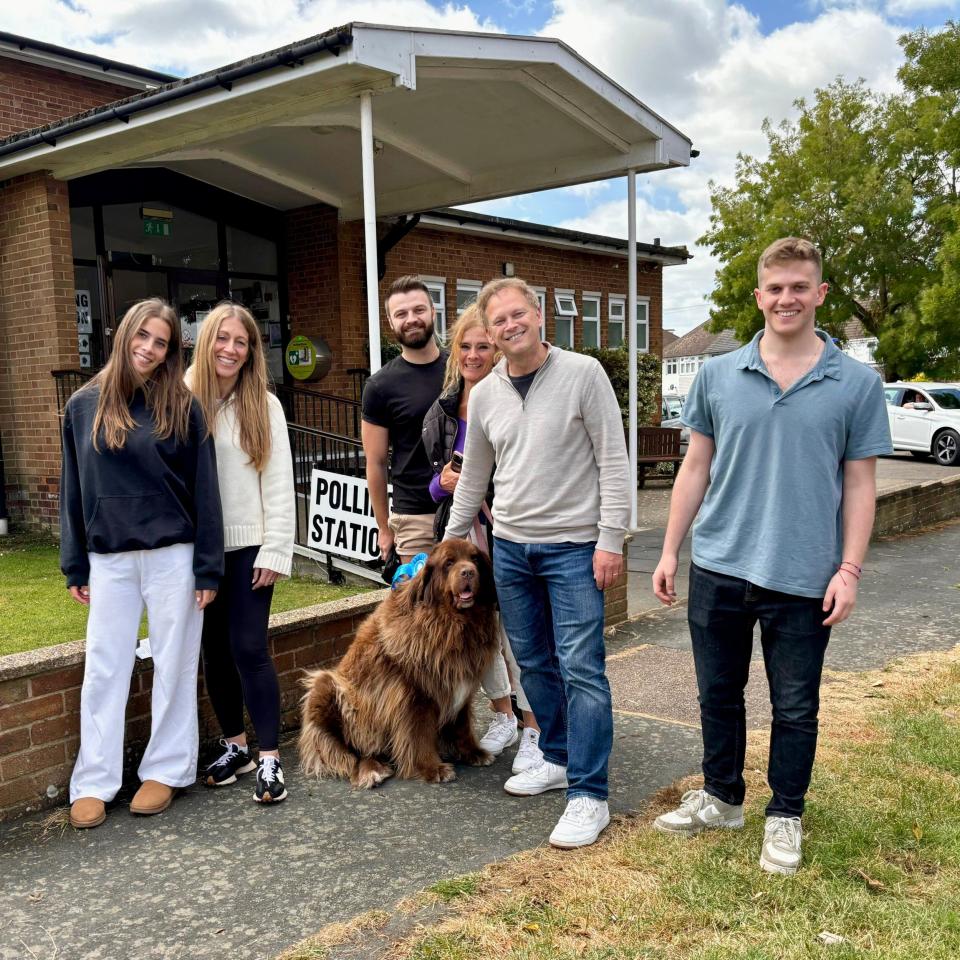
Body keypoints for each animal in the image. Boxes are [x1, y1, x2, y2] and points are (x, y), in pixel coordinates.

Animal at [298, 540, 496, 788]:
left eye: (475, 559)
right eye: (449, 563)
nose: (468, 571)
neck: (452, 625)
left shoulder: (460, 686)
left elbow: (462, 725)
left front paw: (473, 752)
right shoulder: (415, 693)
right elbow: (419, 734)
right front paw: (432, 768)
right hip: (328, 687)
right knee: (347, 752)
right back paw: (371, 770)